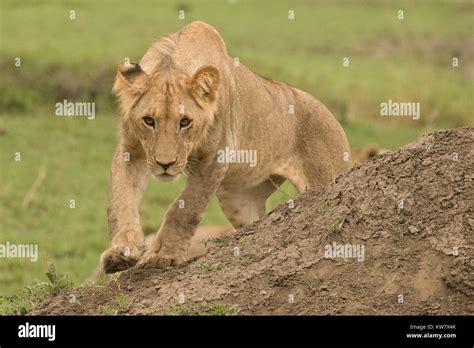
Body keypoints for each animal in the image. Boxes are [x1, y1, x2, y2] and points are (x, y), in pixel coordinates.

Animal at [100, 21, 352, 274]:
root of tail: (330, 114)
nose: (165, 164)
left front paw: (164, 255)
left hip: (327, 173)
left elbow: (186, 209)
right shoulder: (130, 152)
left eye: (185, 122)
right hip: (238, 200)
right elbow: (120, 201)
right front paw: (121, 252)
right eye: (149, 121)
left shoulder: (216, 158)